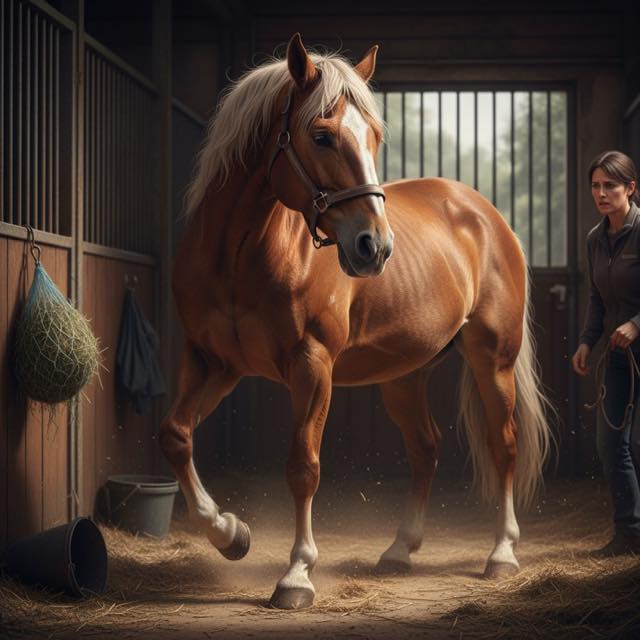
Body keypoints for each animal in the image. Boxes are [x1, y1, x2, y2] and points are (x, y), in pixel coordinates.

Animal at [161, 33, 552, 610]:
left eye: (374, 136)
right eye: (321, 136)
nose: (375, 247)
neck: (240, 256)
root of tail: (486, 214)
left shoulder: (312, 365)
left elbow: (303, 467)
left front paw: (296, 576)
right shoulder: (212, 362)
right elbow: (176, 436)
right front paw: (231, 535)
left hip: (492, 359)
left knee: (503, 443)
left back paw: (501, 554)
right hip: (404, 376)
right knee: (426, 447)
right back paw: (399, 550)